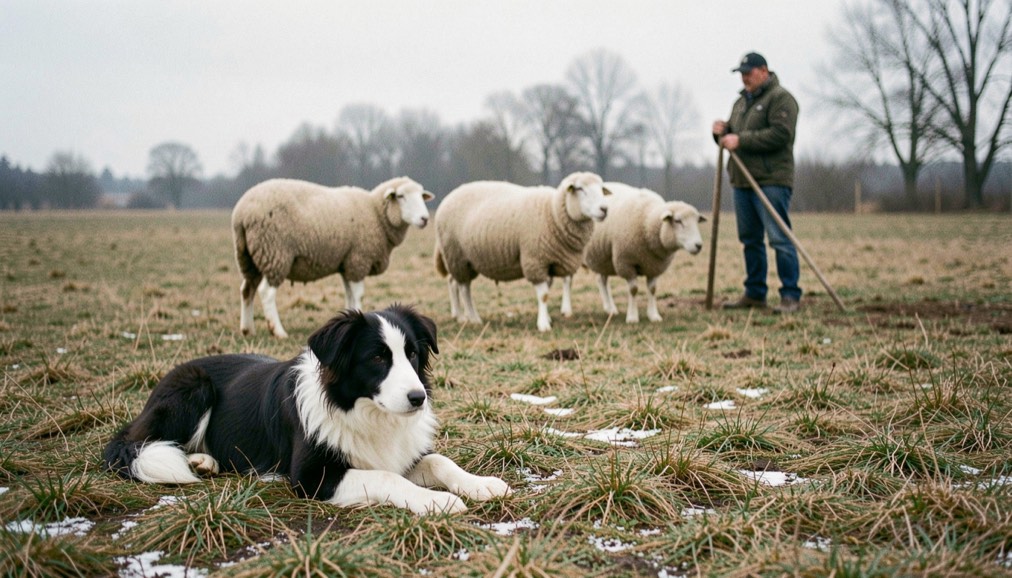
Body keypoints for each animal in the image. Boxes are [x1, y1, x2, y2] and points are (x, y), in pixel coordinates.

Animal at [232, 176, 433, 338]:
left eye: (421, 195)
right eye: (400, 196)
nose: (424, 219)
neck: (376, 212)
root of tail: (241, 212)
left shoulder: (347, 263)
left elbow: (349, 295)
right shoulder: (358, 260)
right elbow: (358, 294)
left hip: (248, 257)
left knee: (247, 290)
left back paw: (247, 330)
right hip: (275, 253)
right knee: (266, 292)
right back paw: (278, 331)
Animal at [433, 172, 609, 332]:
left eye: (602, 189)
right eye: (580, 188)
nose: (604, 209)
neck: (552, 213)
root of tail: (449, 196)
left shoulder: (548, 263)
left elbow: (547, 292)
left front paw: (547, 319)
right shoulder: (535, 260)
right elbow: (543, 295)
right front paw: (543, 325)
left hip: (463, 260)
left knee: (455, 283)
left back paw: (460, 316)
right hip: (457, 256)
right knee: (465, 288)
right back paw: (473, 318)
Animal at [567, 182, 706, 323]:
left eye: (696, 222)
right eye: (678, 221)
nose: (698, 245)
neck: (648, 222)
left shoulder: (653, 266)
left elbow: (652, 289)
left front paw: (654, 315)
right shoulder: (626, 263)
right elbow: (633, 290)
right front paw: (632, 317)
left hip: (602, 257)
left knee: (602, 281)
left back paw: (610, 309)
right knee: (569, 280)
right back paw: (568, 310)